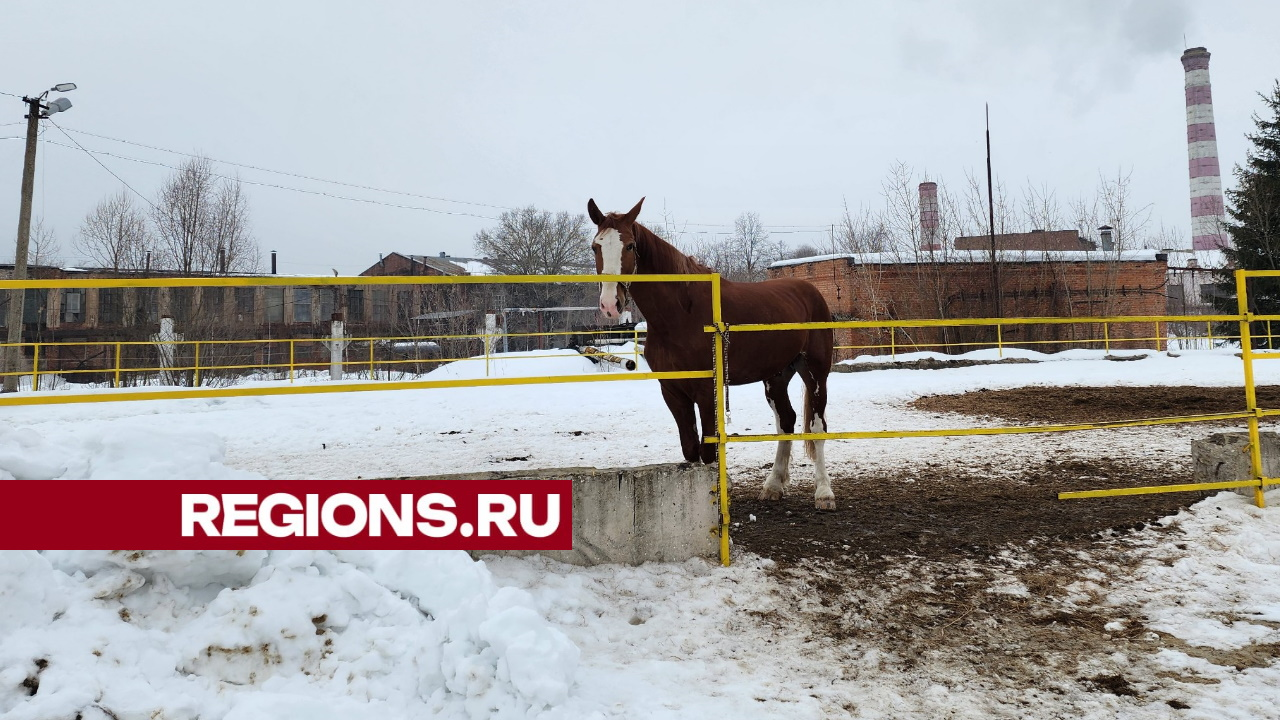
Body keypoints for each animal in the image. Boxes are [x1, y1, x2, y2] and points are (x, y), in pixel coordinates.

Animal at [583, 196, 839, 507]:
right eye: (595, 246)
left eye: (630, 246)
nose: (610, 304)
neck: (681, 314)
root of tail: (812, 293)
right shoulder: (672, 391)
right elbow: (691, 449)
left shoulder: (706, 390)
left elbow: (708, 450)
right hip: (776, 376)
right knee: (786, 421)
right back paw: (773, 486)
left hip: (815, 372)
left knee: (817, 426)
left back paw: (824, 493)